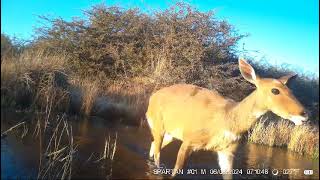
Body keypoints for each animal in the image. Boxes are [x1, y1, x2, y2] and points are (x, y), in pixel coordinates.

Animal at [146, 58, 308, 179]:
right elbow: (175, 172)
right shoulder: (189, 141)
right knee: (157, 152)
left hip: (170, 133)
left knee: (153, 145)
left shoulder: (227, 151)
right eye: (275, 90)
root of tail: (153, 96)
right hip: (158, 126)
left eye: (290, 90)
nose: (303, 115)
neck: (227, 119)